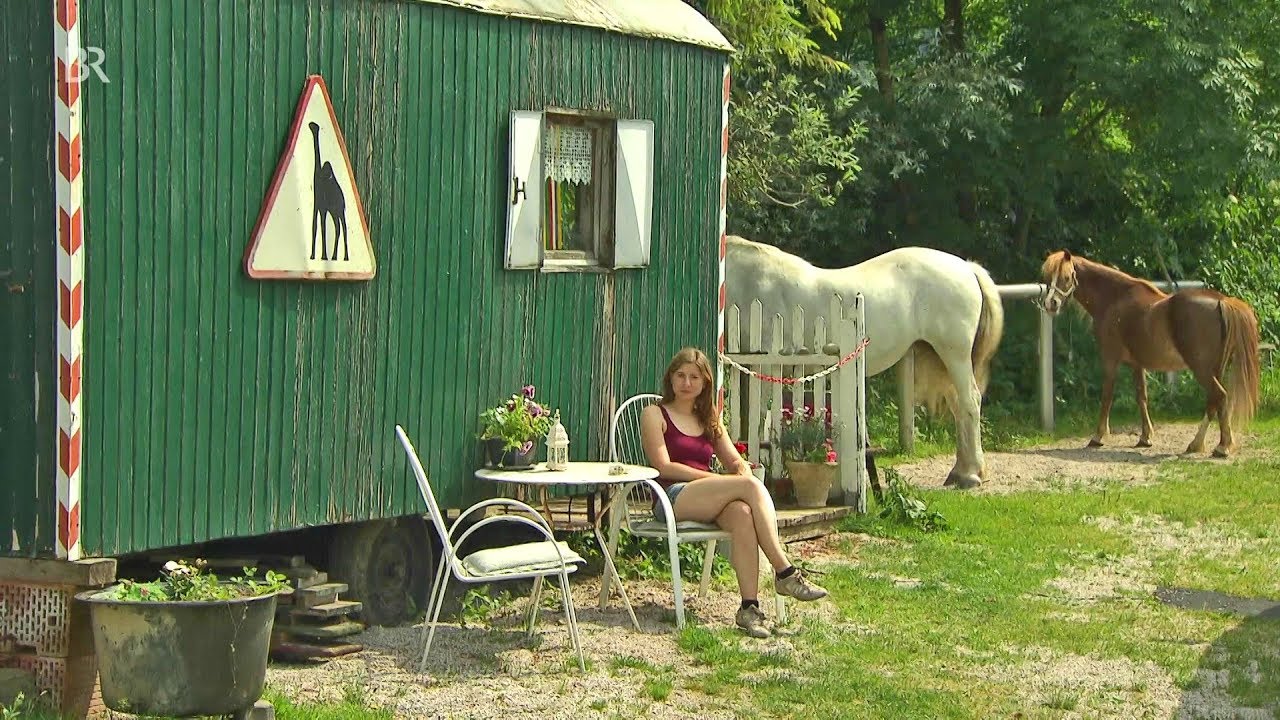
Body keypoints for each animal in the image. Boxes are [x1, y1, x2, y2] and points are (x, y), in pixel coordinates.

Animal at [727, 235, 1003, 486]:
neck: (747, 282)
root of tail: (967, 268)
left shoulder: (764, 369)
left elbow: (758, 419)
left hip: (955, 354)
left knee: (970, 403)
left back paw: (970, 476)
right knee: (959, 408)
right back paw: (960, 472)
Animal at [1039, 249, 1259, 453]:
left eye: (1067, 277)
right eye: (1048, 278)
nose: (1051, 304)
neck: (1114, 299)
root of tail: (1222, 301)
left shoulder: (1110, 359)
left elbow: (1107, 395)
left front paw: (1098, 436)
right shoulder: (1137, 364)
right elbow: (1141, 397)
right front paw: (1145, 437)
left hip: (1202, 368)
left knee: (1219, 396)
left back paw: (1220, 447)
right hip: (1216, 368)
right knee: (1215, 401)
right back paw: (1203, 444)